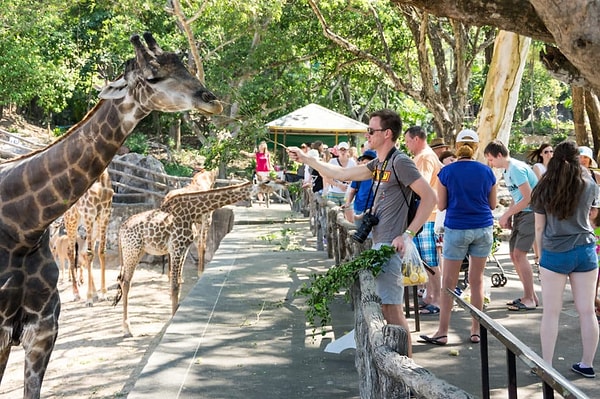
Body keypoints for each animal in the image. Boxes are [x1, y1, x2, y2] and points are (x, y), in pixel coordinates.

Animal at [63, 167, 113, 304]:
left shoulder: (105, 214)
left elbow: (102, 252)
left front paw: (104, 294)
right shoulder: (89, 213)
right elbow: (90, 253)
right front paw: (89, 298)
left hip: (93, 224)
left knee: (84, 252)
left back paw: (95, 293)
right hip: (72, 219)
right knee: (71, 252)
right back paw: (77, 294)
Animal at [112, 181, 251, 338]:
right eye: (264, 183)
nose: (250, 202)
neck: (190, 210)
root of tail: (121, 229)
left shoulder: (183, 248)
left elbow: (178, 282)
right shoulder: (177, 247)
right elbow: (175, 285)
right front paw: (172, 319)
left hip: (136, 251)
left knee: (122, 280)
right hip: (132, 251)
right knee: (126, 282)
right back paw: (127, 329)